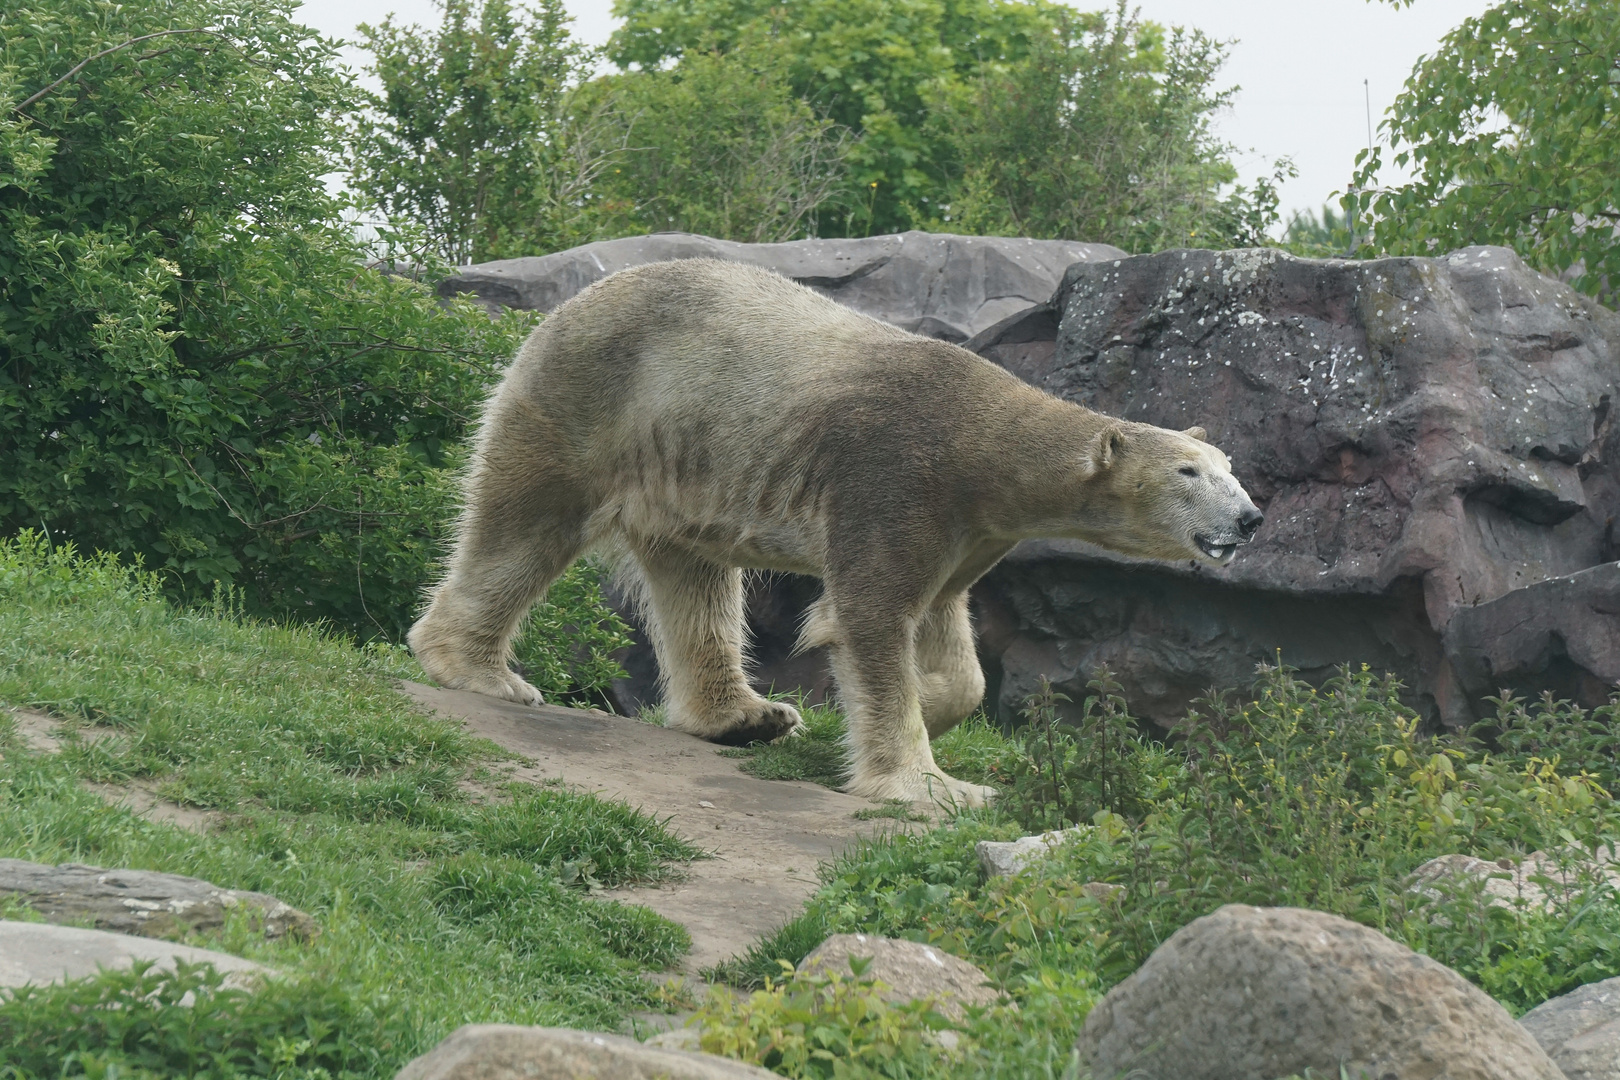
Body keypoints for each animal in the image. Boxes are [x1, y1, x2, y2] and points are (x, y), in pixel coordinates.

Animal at [408, 259, 1263, 803]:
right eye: (1189, 473)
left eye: (1230, 465)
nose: (1251, 517)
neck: (984, 440)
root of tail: (564, 306)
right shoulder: (898, 478)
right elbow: (872, 615)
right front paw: (933, 783)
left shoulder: (966, 528)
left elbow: (947, 629)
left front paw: (935, 700)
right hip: (590, 398)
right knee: (525, 525)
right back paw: (480, 669)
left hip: (682, 460)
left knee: (695, 580)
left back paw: (748, 717)